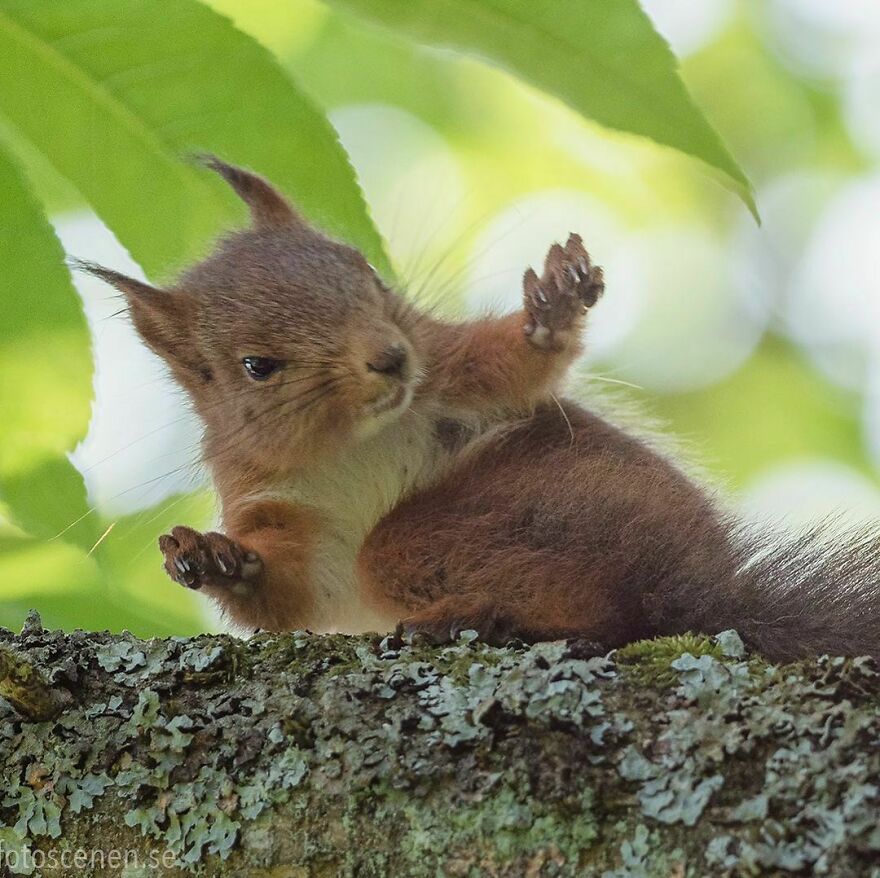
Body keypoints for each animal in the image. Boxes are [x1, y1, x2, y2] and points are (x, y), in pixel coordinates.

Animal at [81, 156, 880, 664]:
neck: (350, 442)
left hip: (531, 502)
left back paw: (484, 617)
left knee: (606, 606)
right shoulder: (270, 501)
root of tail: (710, 582)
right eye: (257, 366)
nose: (390, 359)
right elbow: (288, 596)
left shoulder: (449, 364)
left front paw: (552, 310)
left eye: (362, 268)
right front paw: (212, 559)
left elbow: (513, 367)